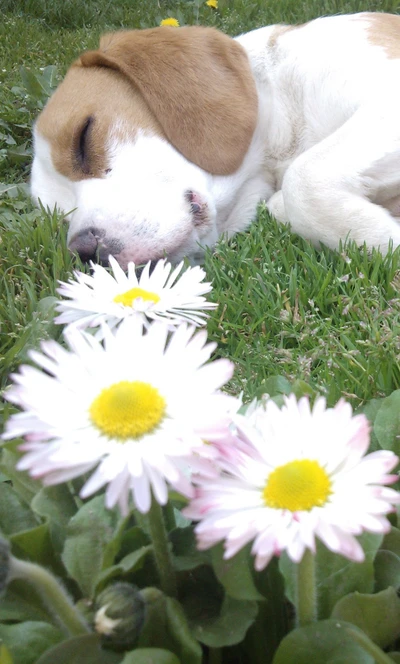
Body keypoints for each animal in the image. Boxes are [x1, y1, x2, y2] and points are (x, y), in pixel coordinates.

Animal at [32, 11, 400, 268]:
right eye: (61, 216)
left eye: (83, 137)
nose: (84, 252)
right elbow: (284, 198)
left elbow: (304, 178)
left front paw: (383, 239)